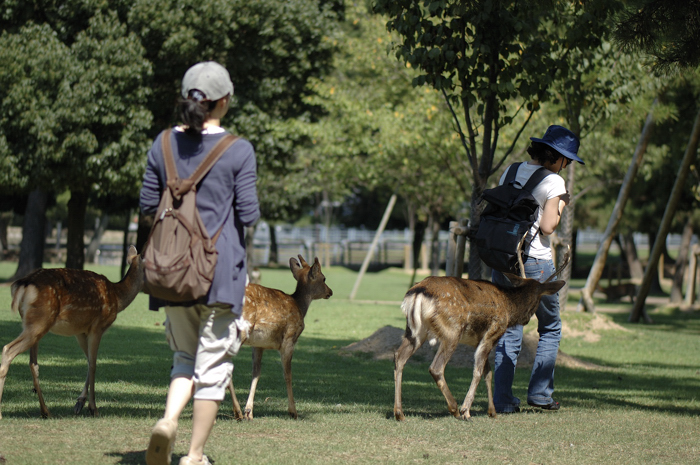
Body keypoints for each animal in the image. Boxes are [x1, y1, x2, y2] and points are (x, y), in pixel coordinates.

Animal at [0, 245, 144, 418]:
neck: (117, 297)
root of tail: (23, 284)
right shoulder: (98, 326)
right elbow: (93, 364)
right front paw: (93, 408)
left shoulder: (80, 331)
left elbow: (88, 361)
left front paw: (79, 403)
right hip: (40, 320)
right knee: (8, 349)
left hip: (32, 323)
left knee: (33, 363)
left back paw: (45, 411)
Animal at [227, 256, 330, 418]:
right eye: (324, 278)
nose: (330, 292)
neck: (300, 307)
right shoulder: (289, 338)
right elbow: (288, 374)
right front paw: (293, 411)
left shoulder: (258, 344)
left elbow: (256, 373)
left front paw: (249, 411)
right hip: (241, 330)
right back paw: (236, 411)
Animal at [394, 241, 568, 422]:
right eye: (538, 300)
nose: (526, 320)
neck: (509, 307)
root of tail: (416, 294)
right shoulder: (492, 333)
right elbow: (478, 371)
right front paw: (466, 410)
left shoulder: (477, 340)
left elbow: (488, 372)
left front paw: (492, 411)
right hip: (452, 330)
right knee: (436, 368)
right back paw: (454, 408)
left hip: (415, 331)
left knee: (399, 357)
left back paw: (399, 413)